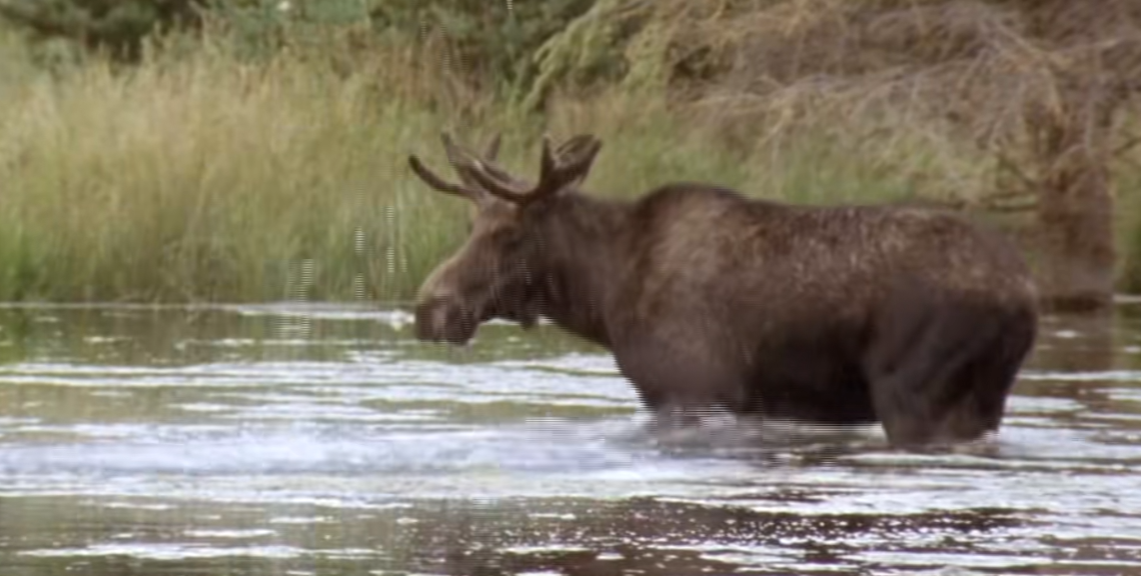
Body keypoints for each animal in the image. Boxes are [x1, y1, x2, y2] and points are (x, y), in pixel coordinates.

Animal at [406, 131, 1040, 449]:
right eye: (468, 225)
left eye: (508, 233)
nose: (429, 308)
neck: (603, 299)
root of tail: (1024, 296)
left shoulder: (692, 390)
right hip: (984, 398)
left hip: (915, 394)